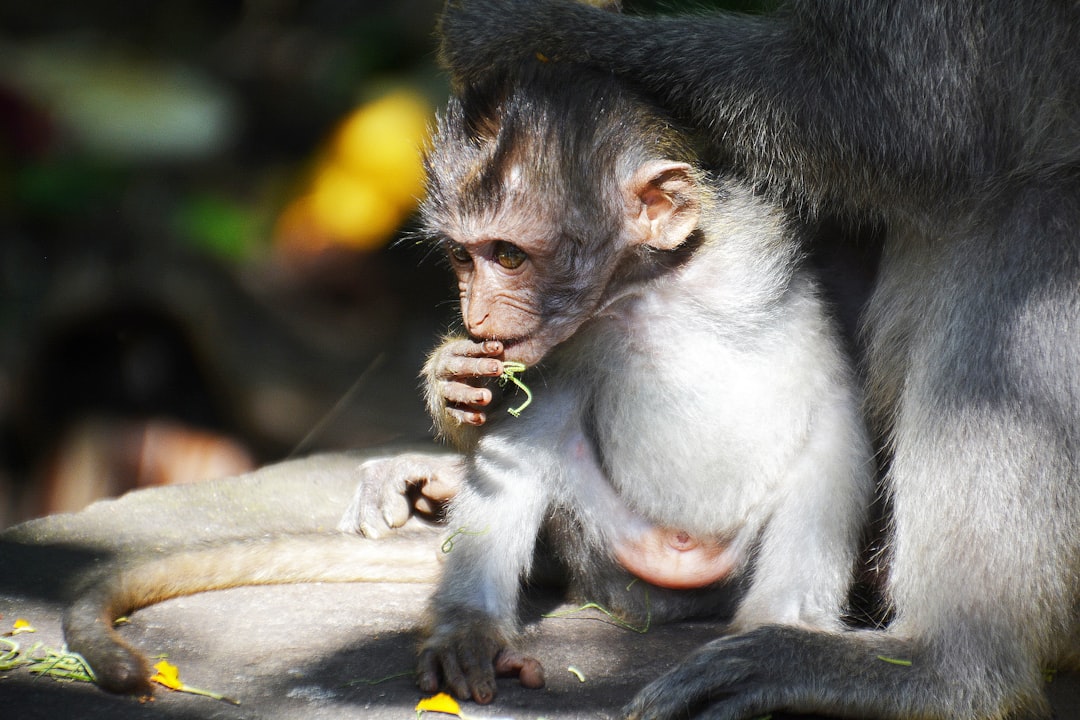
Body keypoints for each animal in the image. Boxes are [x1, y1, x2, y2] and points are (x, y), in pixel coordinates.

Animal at [356, 60, 876, 703]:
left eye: (508, 256)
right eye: (461, 257)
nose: (477, 316)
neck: (647, 287)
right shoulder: (566, 342)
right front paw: (450, 377)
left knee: (836, 441)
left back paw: (778, 634)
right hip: (605, 552)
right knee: (541, 426)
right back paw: (470, 626)